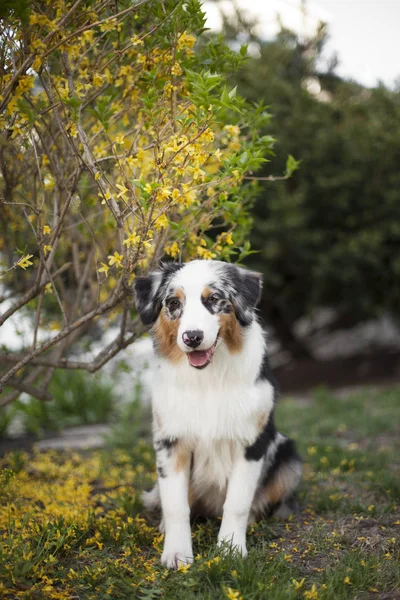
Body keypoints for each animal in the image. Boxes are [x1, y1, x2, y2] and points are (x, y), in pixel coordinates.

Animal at [134, 260, 304, 568]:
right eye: (173, 302)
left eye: (213, 299)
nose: (192, 337)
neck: (208, 378)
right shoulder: (170, 442)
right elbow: (176, 505)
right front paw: (176, 553)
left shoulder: (251, 443)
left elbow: (237, 503)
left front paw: (231, 549)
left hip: (289, 456)